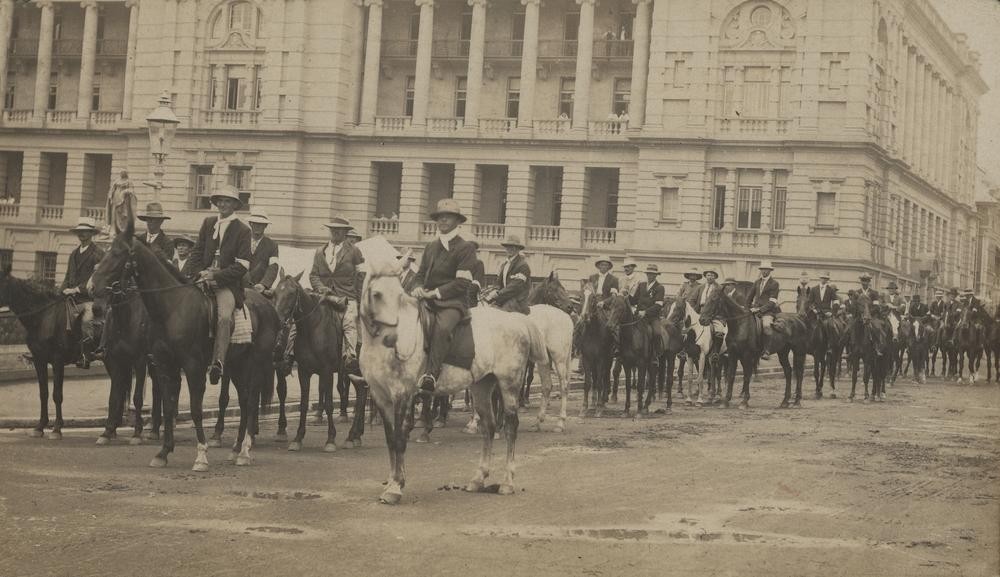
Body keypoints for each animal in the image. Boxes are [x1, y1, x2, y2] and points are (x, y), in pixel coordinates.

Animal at [89, 223, 278, 470]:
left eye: (119, 254)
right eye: (106, 251)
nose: (92, 288)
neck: (172, 307)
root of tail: (268, 305)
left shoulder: (192, 366)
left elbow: (196, 409)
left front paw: (201, 456)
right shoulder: (165, 365)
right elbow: (169, 406)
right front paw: (163, 452)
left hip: (255, 364)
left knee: (252, 400)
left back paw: (245, 452)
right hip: (237, 365)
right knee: (245, 401)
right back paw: (236, 450)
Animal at [358, 258, 548, 504]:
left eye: (399, 295)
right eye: (377, 294)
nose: (392, 339)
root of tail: (518, 320)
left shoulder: (401, 394)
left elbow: (399, 438)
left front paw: (395, 488)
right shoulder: (381, 396)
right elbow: (391, 439)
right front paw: (392, 481)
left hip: (509, 384)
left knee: (510, 427)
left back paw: (507, 482)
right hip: (481, 386)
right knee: (488, 426)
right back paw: (478, 479)